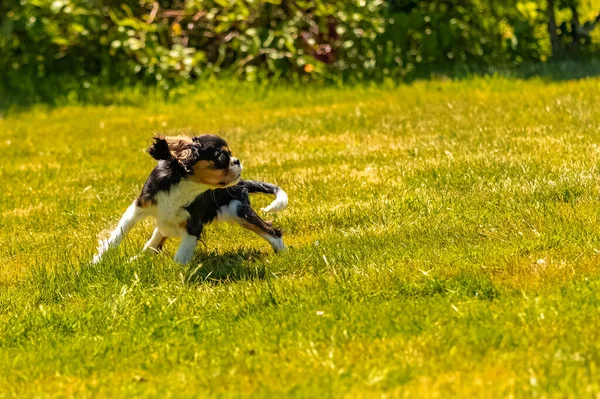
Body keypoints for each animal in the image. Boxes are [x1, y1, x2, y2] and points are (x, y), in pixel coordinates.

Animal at [93, 134, 288, 266]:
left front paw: (174, 275)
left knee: (272, 231)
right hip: (166, 222)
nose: (237, 161)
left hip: (239, 211)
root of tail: (241, 184)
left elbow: (181, 255)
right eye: (222, 157)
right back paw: (137, 259)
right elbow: (117, 235)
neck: (185, 184)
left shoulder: (193, 225)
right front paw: (96, 262)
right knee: (154, 243)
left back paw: (284, 254)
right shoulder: (138, 208)